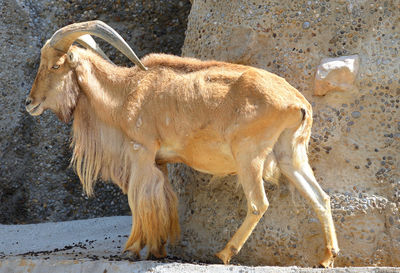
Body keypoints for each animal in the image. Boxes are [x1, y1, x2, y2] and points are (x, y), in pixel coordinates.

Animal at [24, 20, 338, 266]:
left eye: (55, 65)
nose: (30, 103)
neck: (125, 92)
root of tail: (298, 103)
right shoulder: (159, 162)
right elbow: (162, 199)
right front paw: (158, 248)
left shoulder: (141, 152)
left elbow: (139, 199)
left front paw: (133, 249)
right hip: (291, 155)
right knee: (320, 198)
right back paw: (327, 257)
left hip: (249, 156)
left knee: (258, 204)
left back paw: (224, 253)